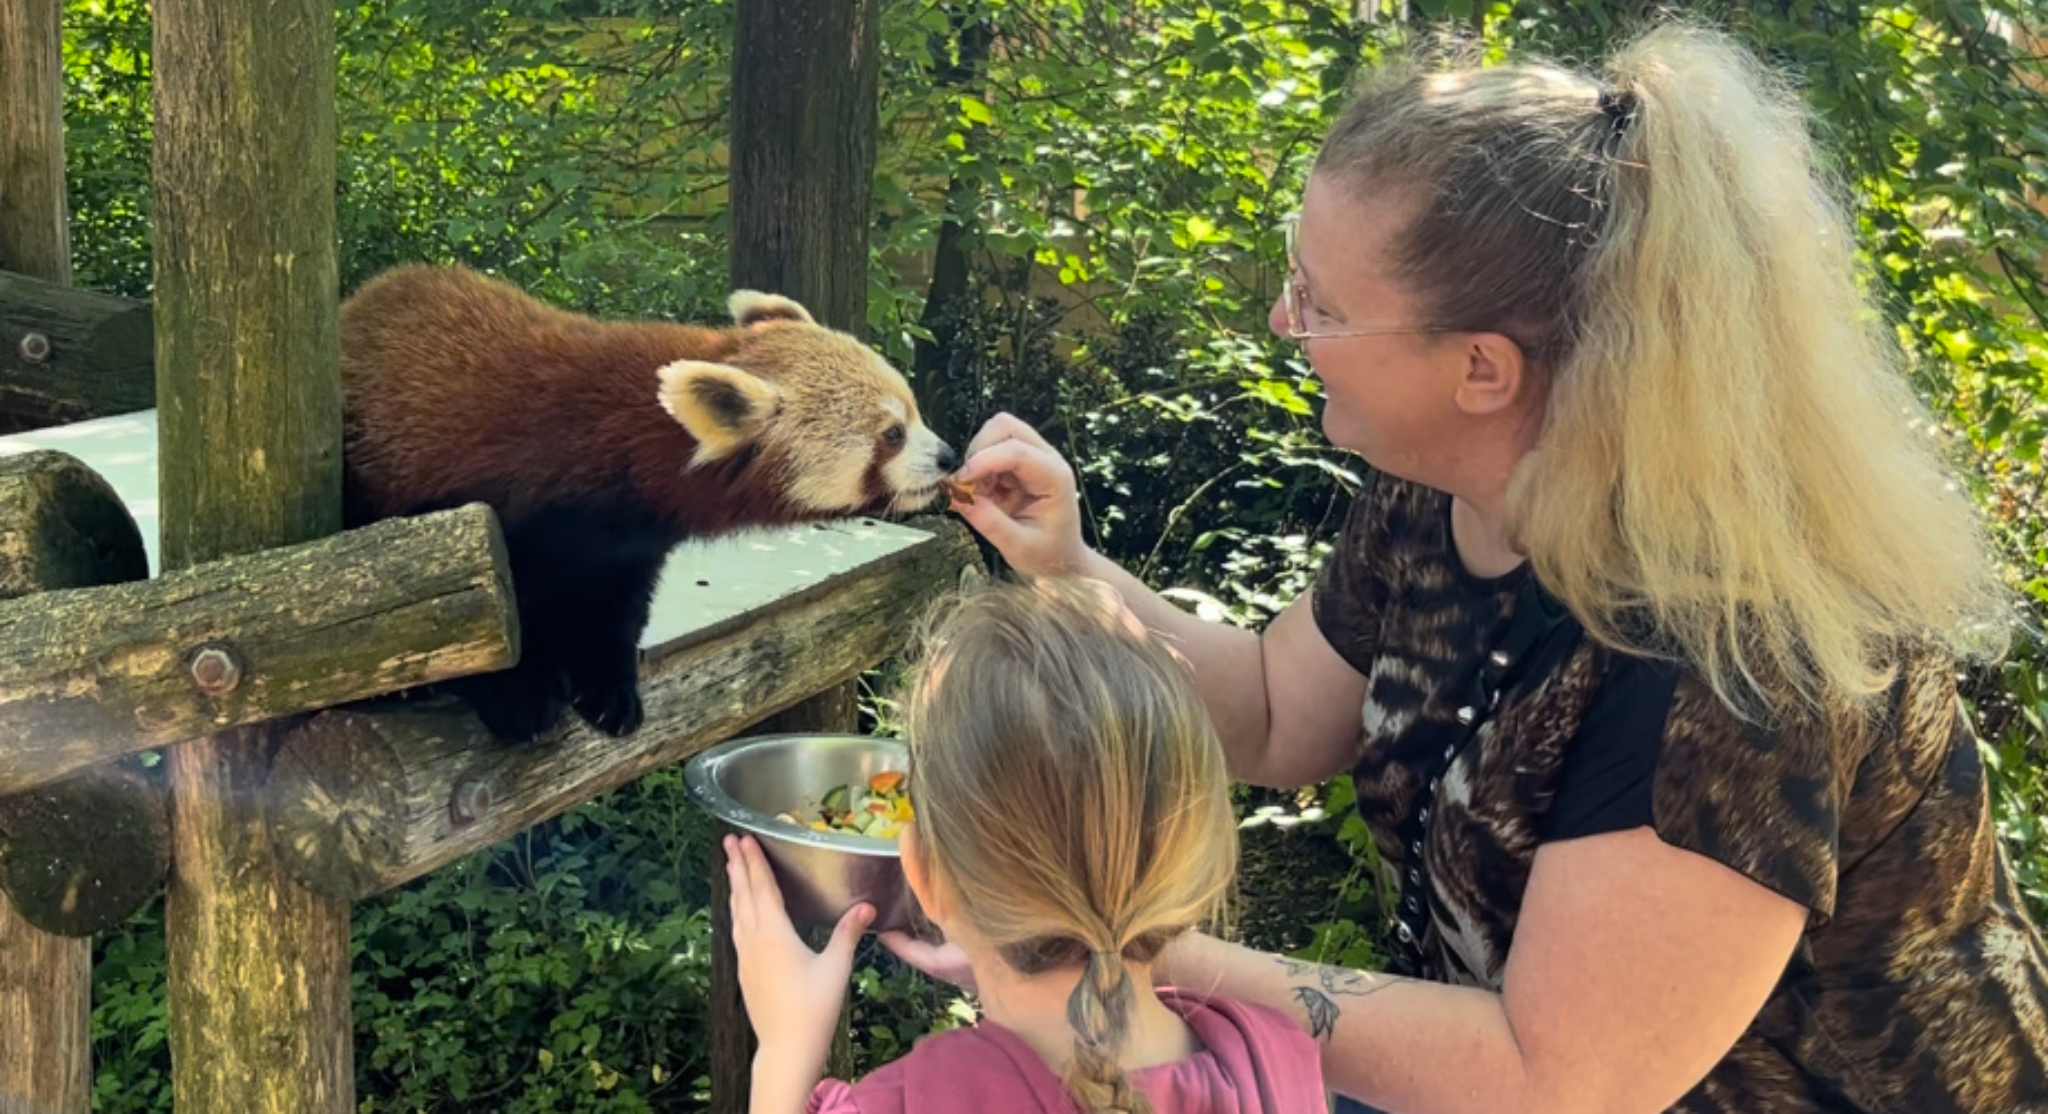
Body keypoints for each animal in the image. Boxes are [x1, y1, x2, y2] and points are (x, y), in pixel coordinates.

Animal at [337, 266, 958, 745]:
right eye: (892, 435)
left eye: (914, 411)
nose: (949, 456)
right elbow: (476, 628)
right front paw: (518, 694)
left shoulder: (627, 547)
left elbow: (616, 608)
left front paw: (610, 687)